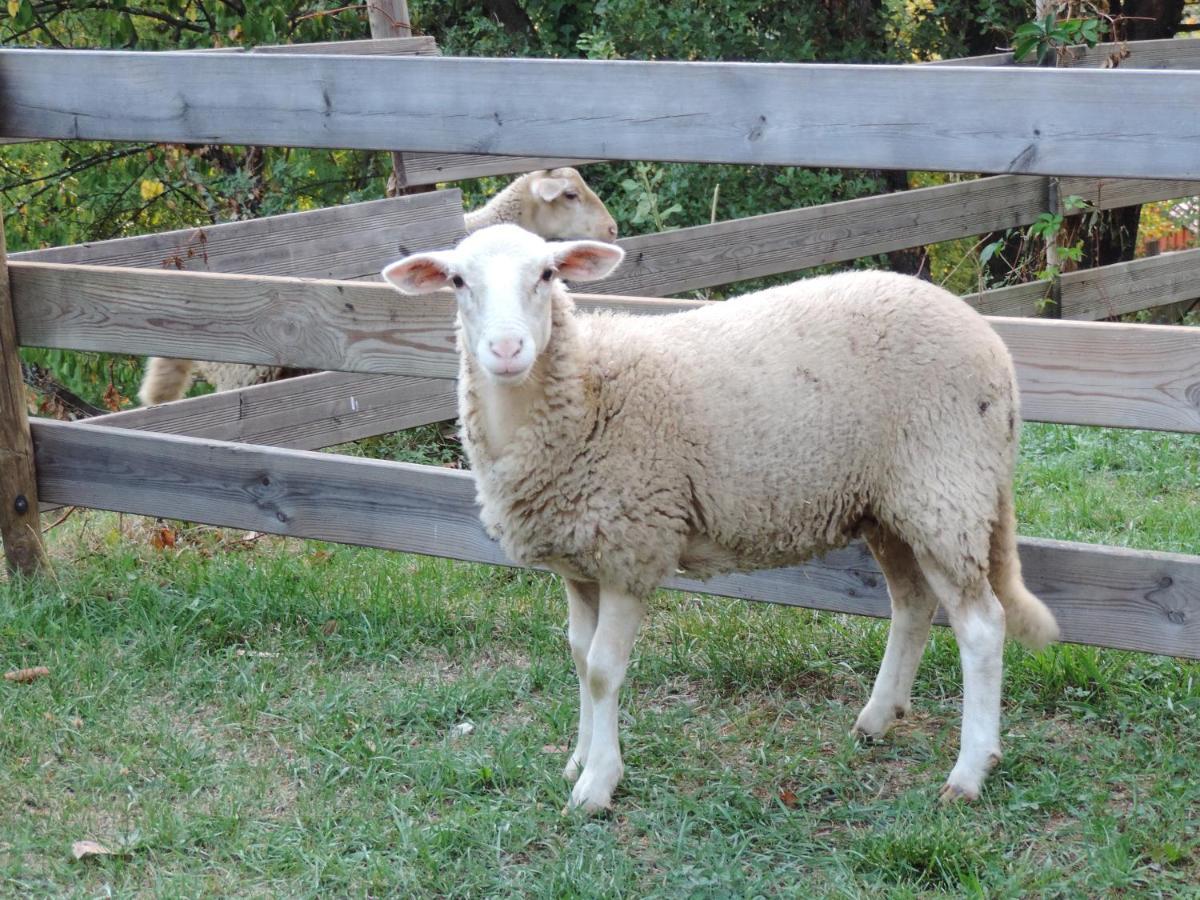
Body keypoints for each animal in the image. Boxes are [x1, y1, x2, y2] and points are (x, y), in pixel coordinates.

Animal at [381, 225, 1060, 816]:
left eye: (547, 274)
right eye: (458, 281)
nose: (505, 350)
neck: (589, 389)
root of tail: (991, 342)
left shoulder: (633, 546)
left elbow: (602, 671)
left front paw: (597, 784)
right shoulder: (579, 559)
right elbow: (576, 655)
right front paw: (578, 759)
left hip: (944, 488)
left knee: (981, 626)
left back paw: (969, 772)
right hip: (888, 504)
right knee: (913, 603)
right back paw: (877, 719)